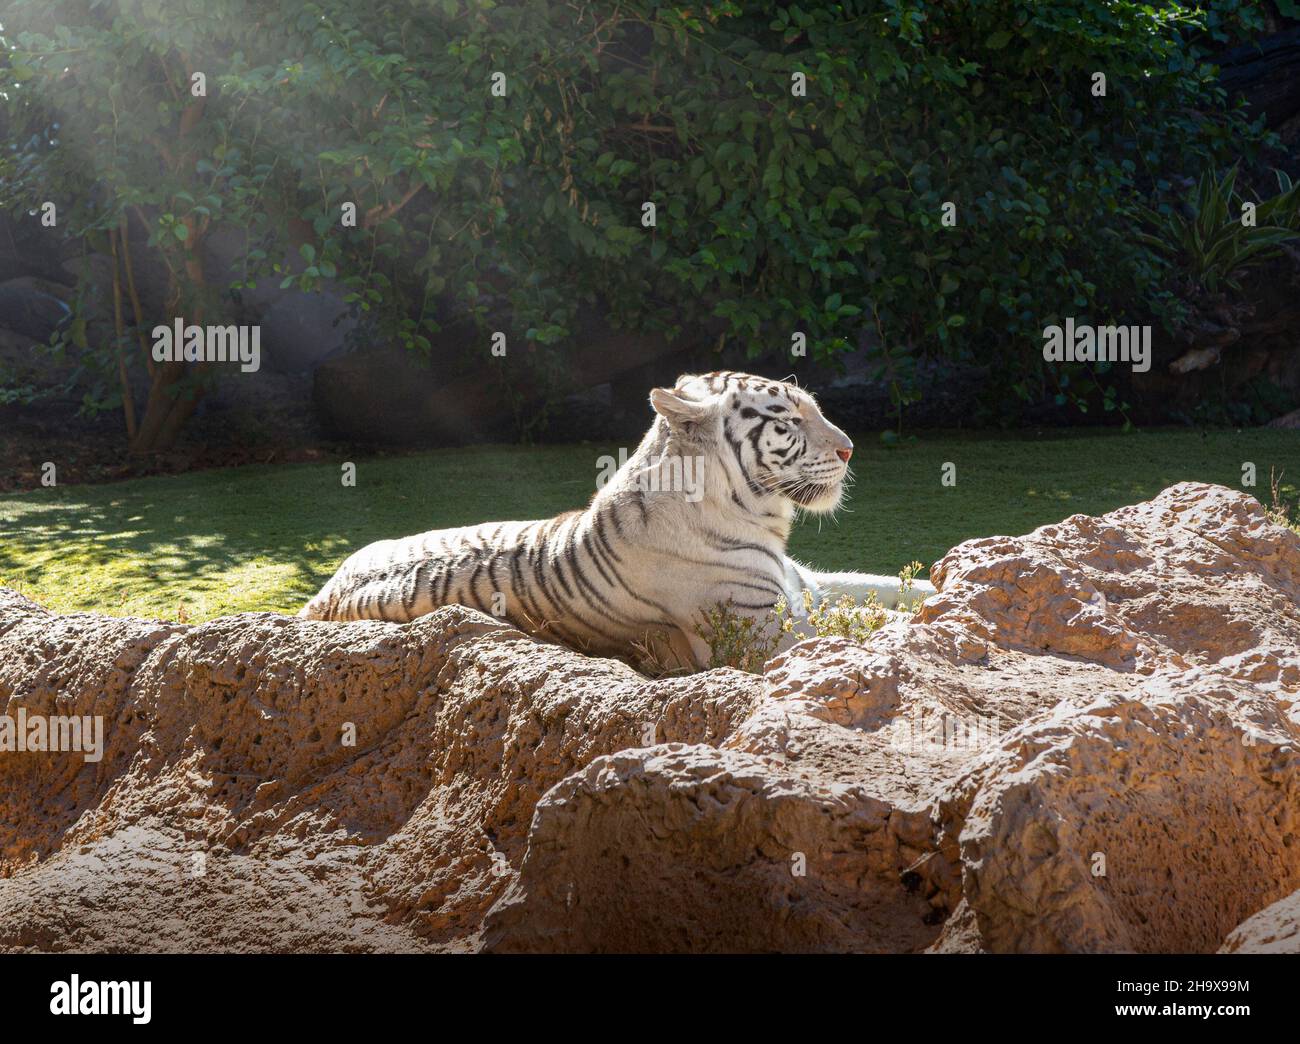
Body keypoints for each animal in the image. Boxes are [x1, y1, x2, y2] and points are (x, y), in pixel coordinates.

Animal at [299, 371, 936, 670]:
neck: (762, 522)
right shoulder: (771, 632)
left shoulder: (810, 584)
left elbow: (893, 590)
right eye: (789, 419)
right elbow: (876, 628)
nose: (850, 449)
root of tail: (320, 595)